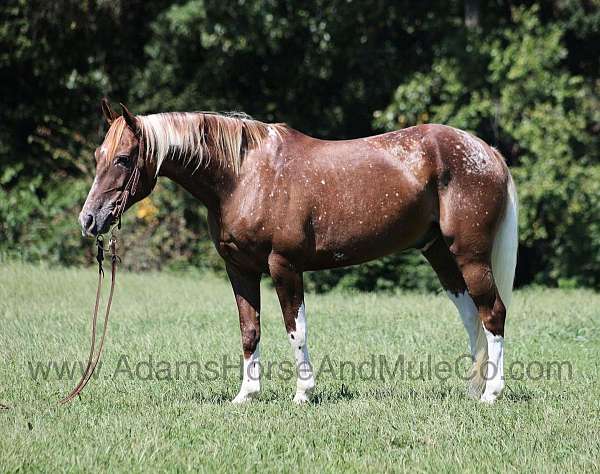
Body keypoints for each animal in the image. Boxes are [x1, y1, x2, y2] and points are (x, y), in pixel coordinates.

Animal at [79, 100, 516, 404]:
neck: (242, 175)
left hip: (470, 255)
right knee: (471, 316)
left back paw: (491, 394)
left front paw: (303, 393)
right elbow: (250, 330)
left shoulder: (284, 266)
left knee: (492, 313)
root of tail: (487, 151)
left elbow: (296, 328)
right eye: (98, 157)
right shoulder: (239, 269)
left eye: (123, 159)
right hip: (439, 252)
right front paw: (245, 395)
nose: (89, 219)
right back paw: (473, 389)